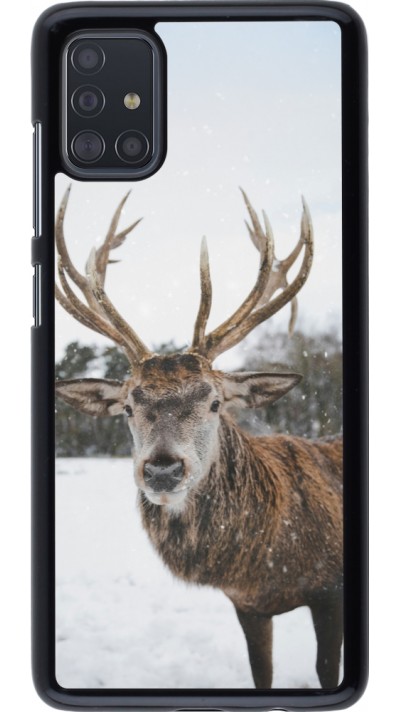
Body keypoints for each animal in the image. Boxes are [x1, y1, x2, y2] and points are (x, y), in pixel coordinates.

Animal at [55, 187, 343, 689]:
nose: (162, 469)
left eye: (214, 402)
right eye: (127, 407)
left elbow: (328, 670)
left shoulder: (331, 591)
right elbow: (261, 673)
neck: (267, 563)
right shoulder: (248, 606)